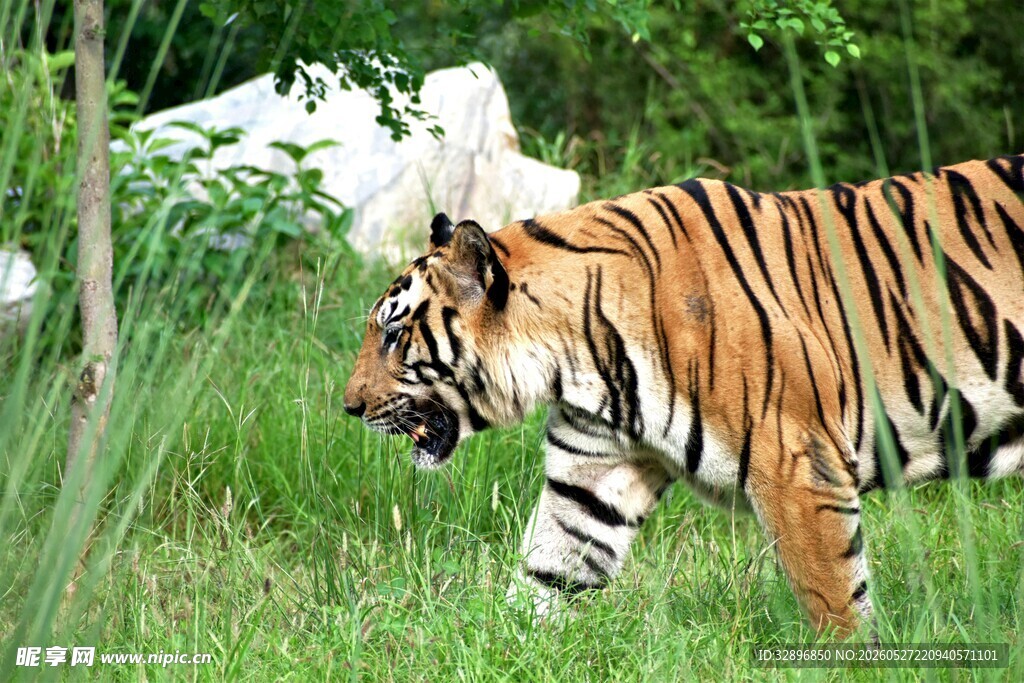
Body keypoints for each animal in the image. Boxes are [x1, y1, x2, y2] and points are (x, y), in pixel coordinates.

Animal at [343, 154, 1024, 636]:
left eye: (394, 333)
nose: (349, 407)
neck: (577, 357)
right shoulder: (593, 472)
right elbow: (549, 574)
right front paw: (502, 648)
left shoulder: (798, 467)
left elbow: (834, 600)